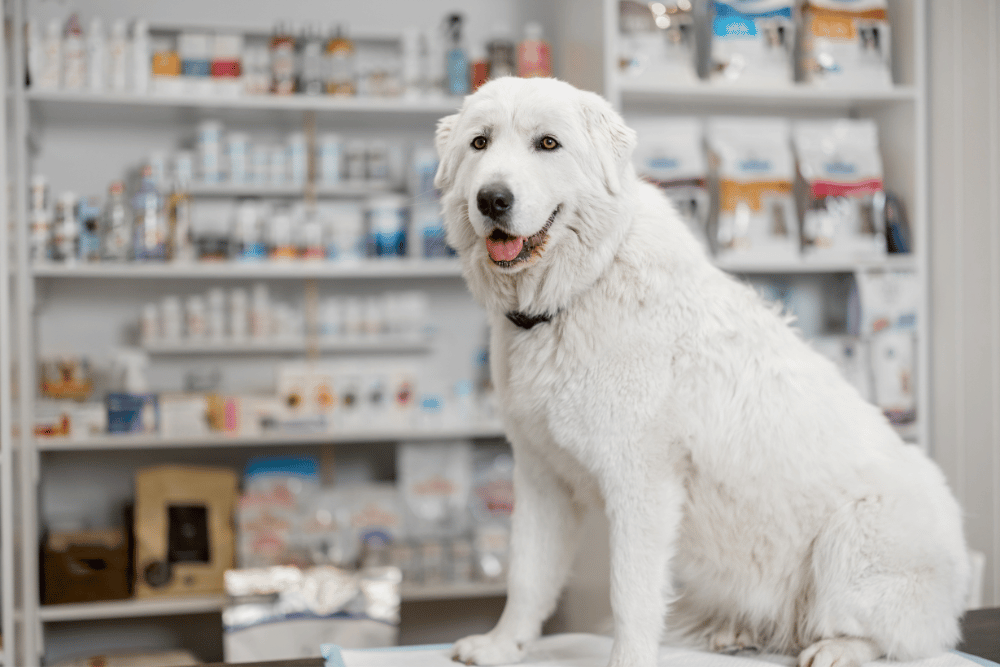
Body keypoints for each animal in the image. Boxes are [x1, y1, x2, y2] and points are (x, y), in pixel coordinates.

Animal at [436, 78, 968, 667]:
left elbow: (630, 594)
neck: (579, 291)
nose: (492, 199)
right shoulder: (541, 478)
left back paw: (837, 648)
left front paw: (627, 660)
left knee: (903, 640)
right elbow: (528, 576)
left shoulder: (640, 483)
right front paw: (502, 645)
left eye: (547, 144)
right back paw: (735, 633)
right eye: (480, 143)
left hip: (852, 536)